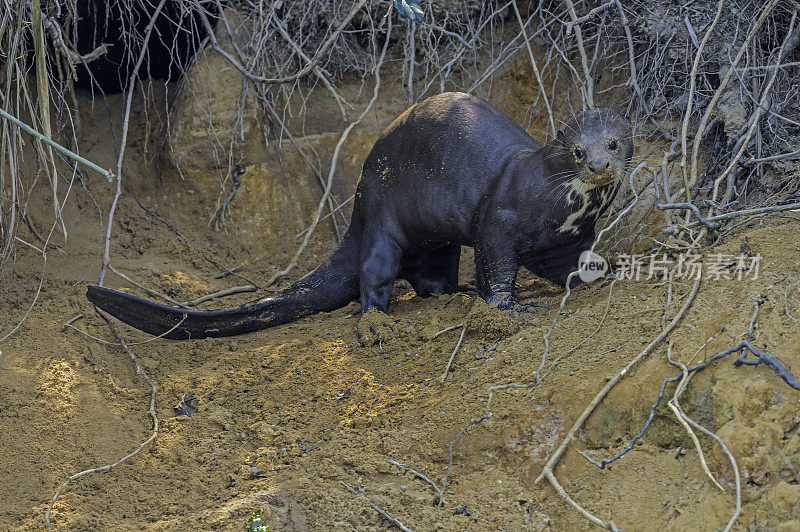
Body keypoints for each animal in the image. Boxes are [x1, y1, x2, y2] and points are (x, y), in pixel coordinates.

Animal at [87, 90, 636, 340]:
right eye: (578, 151)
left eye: (613, 143)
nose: (600, 165)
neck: (554, 199)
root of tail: (356, 198)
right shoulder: (500, 218)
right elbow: (497, 264)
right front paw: (508, 308)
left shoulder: (568, 236)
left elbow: (570, 263)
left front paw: (604, 273)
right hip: (381, 217)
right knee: (374, 274)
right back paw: (377, 322)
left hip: (435, 240)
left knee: (431, 277)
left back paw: (450, 294)